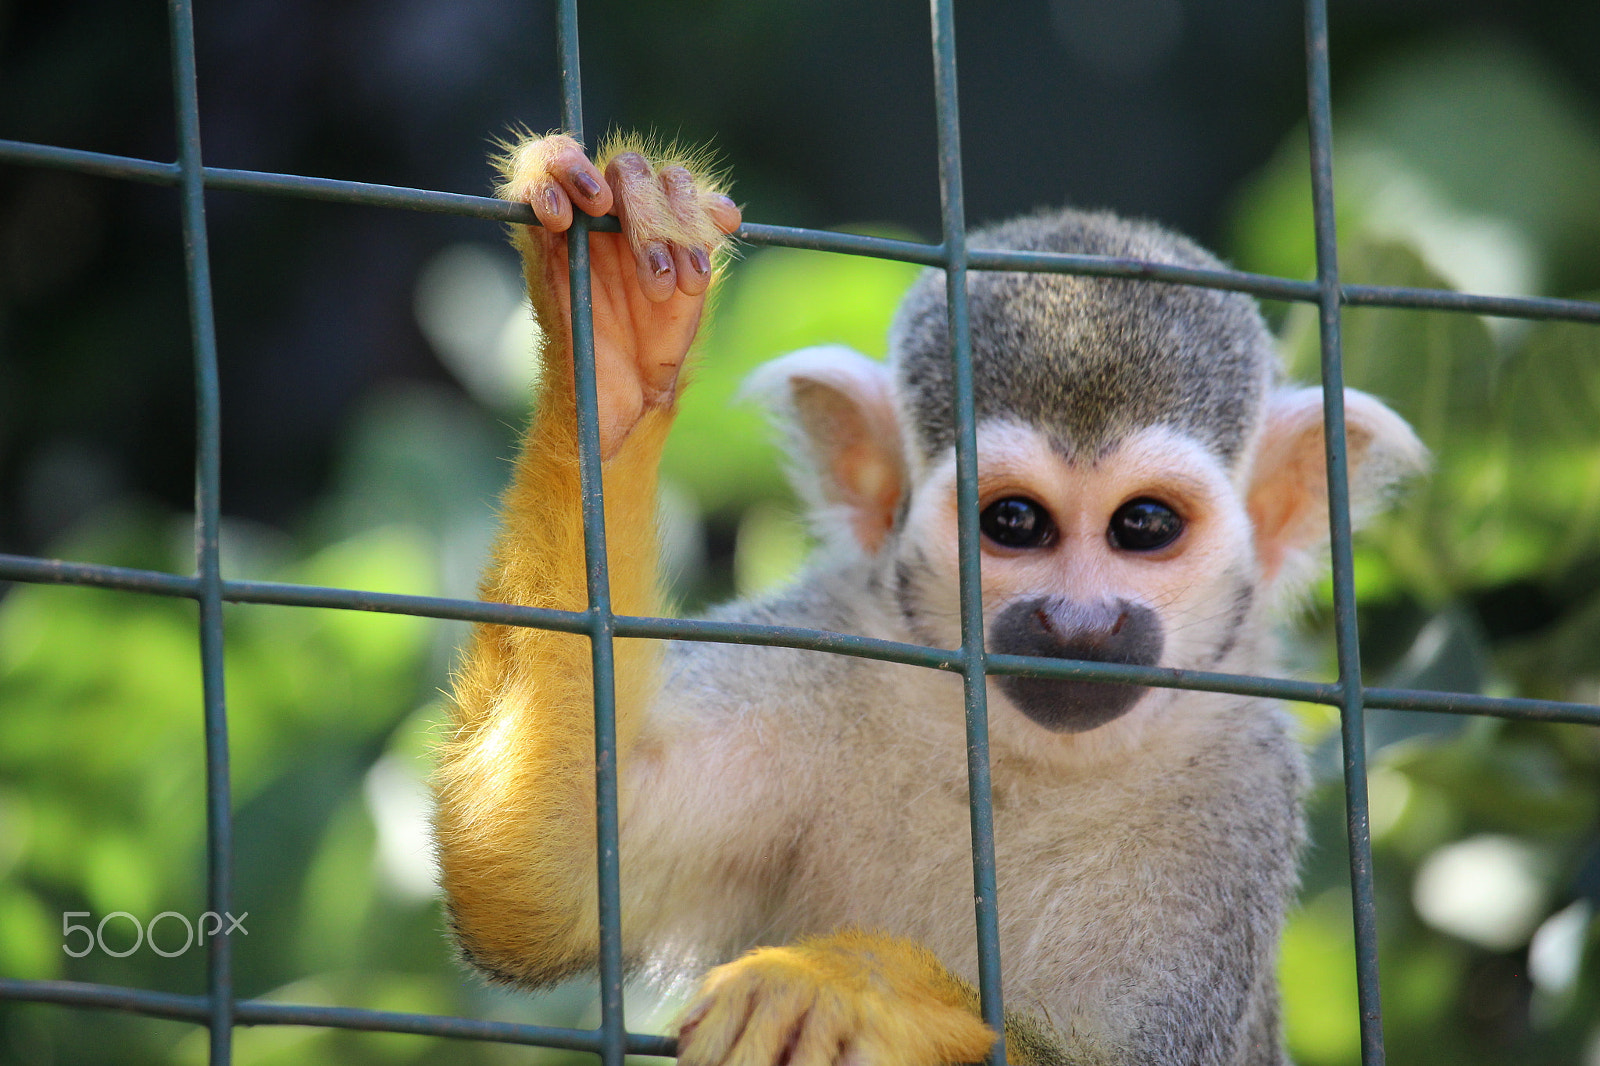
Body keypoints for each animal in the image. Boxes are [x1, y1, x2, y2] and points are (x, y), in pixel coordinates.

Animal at [431, 131, 1427, 1066]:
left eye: (1144, 525)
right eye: (1014, 522)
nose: (1078, 622)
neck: (1024, 760)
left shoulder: (1239, 792)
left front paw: (863, 992)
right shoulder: (820, 648)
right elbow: (537, 885)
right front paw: (616, 337)